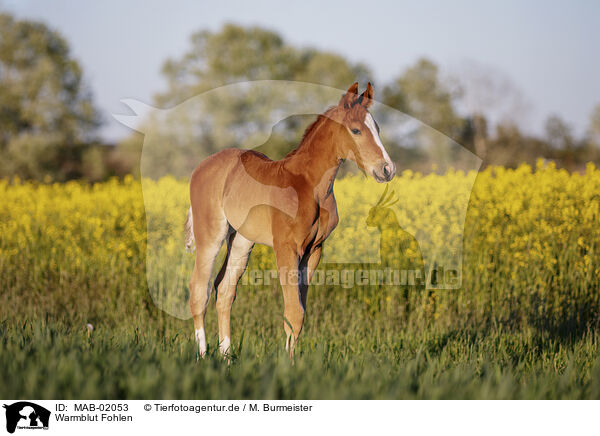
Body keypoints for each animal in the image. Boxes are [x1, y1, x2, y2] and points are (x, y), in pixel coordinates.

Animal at [185, 82, 396, 358]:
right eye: (356, 130)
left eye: (378, 129)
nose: (387, 169)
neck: (309, 185)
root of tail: (201, 167)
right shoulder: (286, 248)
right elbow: (293, 312)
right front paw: (287, 363)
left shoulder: (314, 251)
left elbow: (299, 313)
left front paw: (291, 359)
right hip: (211, 235)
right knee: (199, 290)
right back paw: (202, 356)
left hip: (242, 240)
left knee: (225, 290)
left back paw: (227, 358)